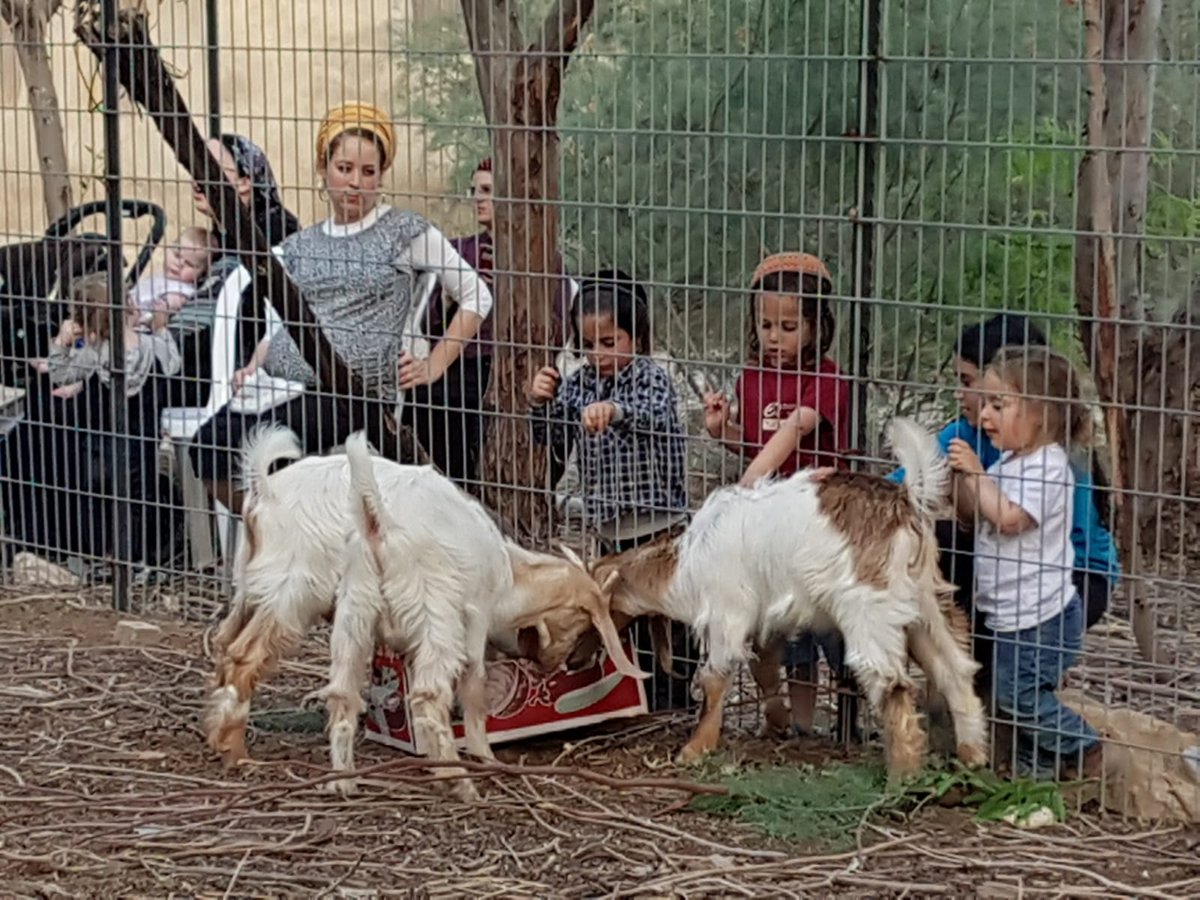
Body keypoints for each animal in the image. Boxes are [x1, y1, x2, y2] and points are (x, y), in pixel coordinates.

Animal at [207, 429, 643, 787]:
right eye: (581, 624)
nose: (561, 666)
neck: (507, 571)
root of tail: (264, 493)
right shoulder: (470, 622)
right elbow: (471, 689)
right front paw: (484, 756)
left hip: (294, 599)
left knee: (234, 650)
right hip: (299, 594)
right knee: (246, 658)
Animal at [595, 420, 988, 777]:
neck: (687, 561)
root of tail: (905, 500)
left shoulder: (727, 615)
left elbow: (715, 679)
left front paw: (695, 749)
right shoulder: (766, 620)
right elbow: (765, 667)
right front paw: (776, 723)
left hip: (870, 609)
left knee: (892, 685)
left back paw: (901, 777)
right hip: (925, 603)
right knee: (955, 670)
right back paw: (972, 756)